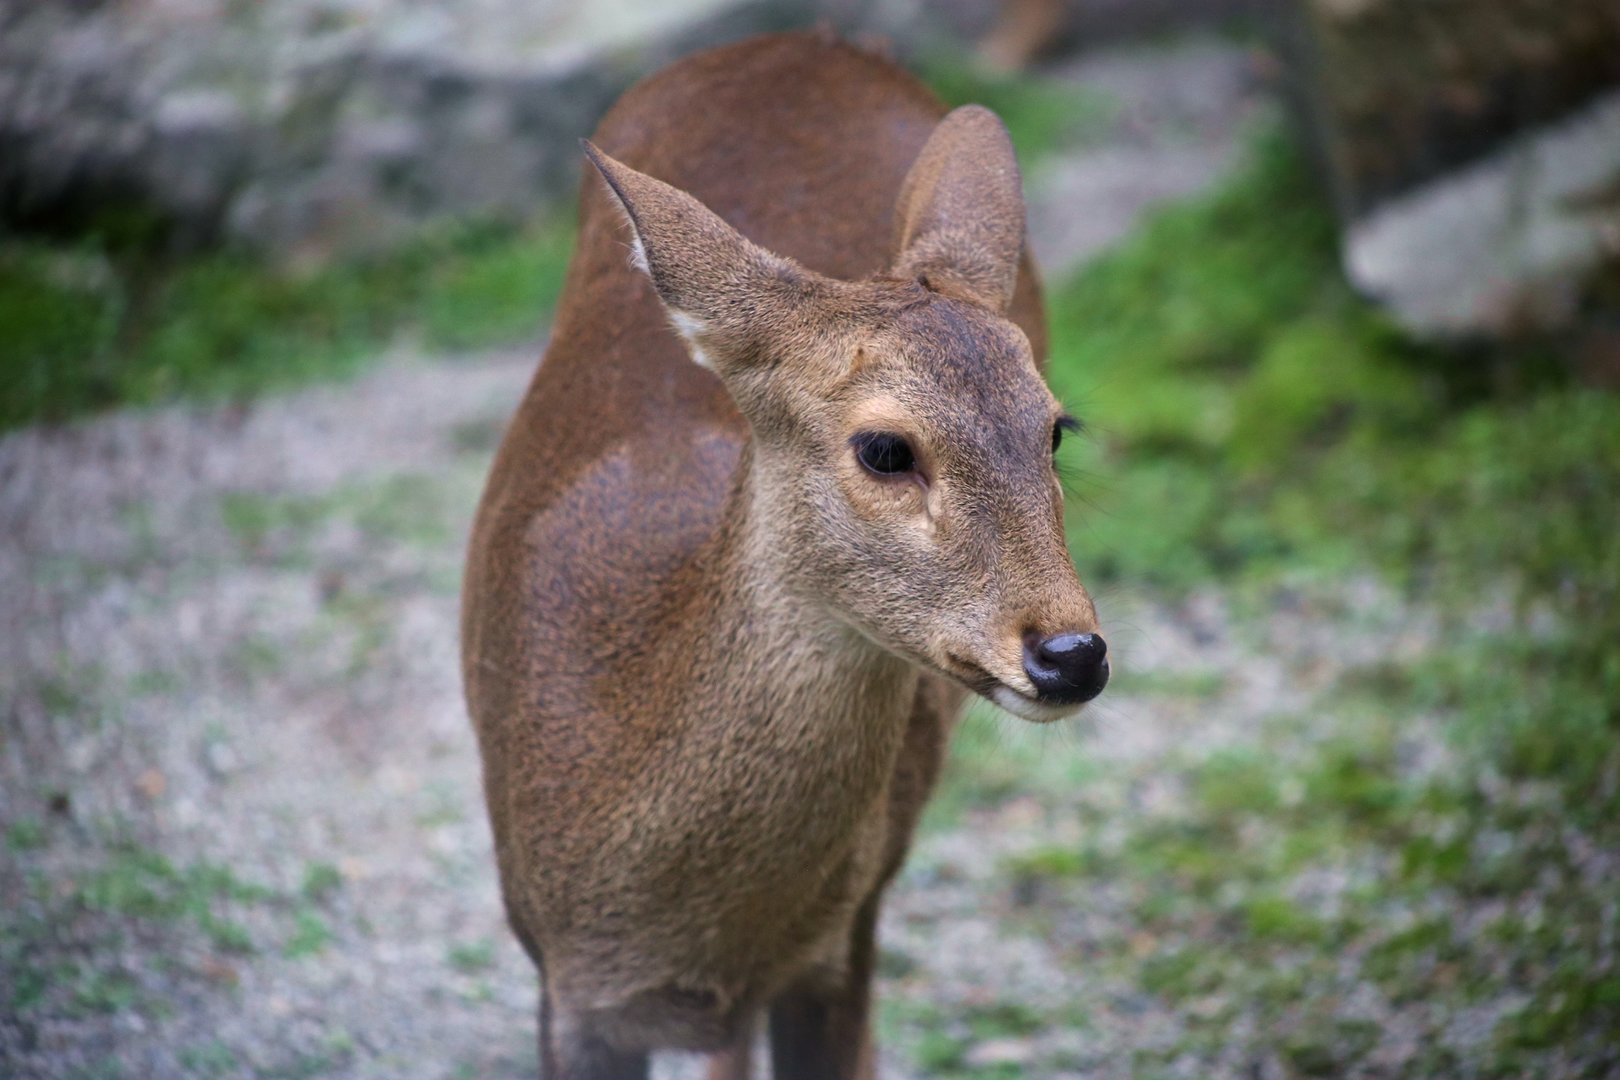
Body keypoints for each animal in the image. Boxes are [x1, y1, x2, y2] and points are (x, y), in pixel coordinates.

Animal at [461, 29, 1109, 1080]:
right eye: (884, 448)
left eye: (1055, 428)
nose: (1071, 653)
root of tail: (802, 40)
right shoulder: (563, 988)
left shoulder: (840, 949)